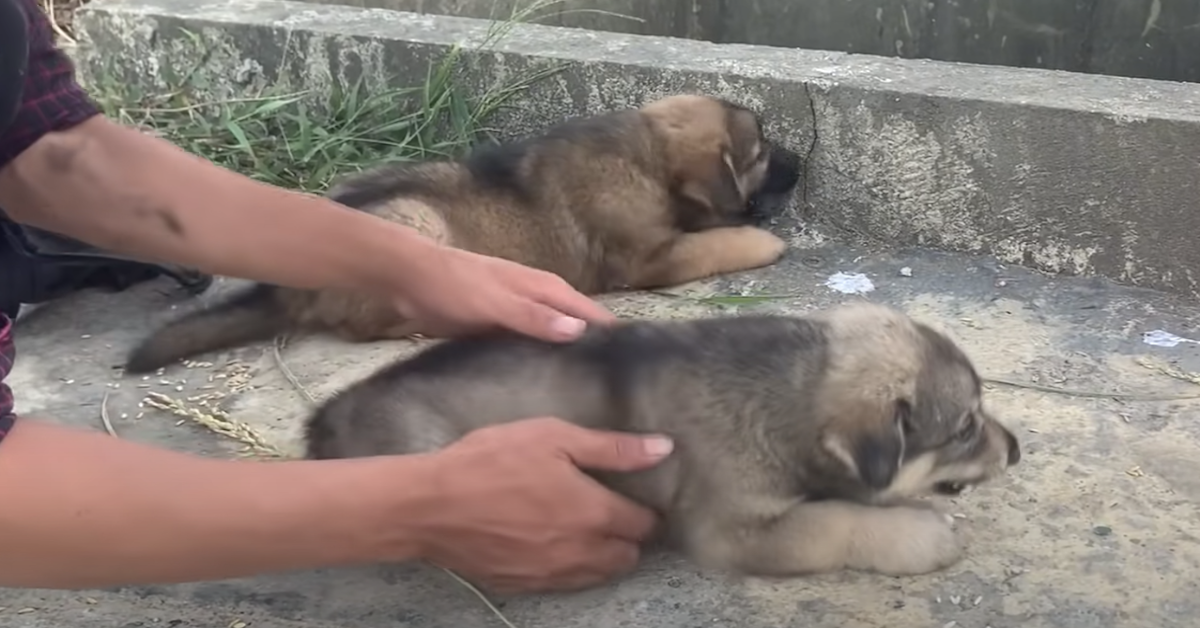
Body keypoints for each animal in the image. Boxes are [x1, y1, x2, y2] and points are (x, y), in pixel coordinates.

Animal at [121, 93, 801, 374]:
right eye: (762, 152)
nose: (803, 165)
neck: (648, 154)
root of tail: (290, 287)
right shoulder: (648, 259)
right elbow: (713, 241)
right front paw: (764, 239)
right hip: (416, 226)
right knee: (369, 323)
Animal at [302, 304, 1022, 581]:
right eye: (964, 427)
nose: (1016, 449)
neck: (794, 388)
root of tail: (326, 418)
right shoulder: (731, 530)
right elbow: (836, 520)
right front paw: (921, 533)